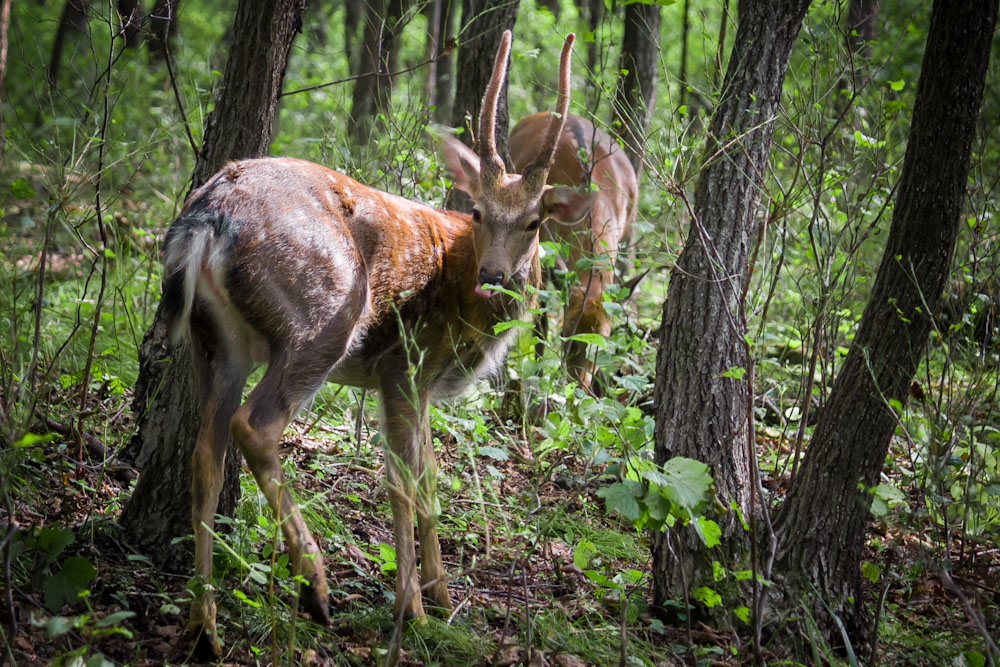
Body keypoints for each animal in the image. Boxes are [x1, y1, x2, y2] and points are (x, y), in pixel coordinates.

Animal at [158, 31, 592, 656]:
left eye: (534, 223)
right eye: (478, 211)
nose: (493, 276)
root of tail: (206, 216)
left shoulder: (425, 384)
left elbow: (431, 478)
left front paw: (442, 596)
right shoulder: (404, 366)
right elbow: (403, 482)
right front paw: (414, 609)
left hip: (213, 339)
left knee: (204, 454)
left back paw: (204, 628)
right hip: (322, 319)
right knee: (253, 426)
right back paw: (313, 583)